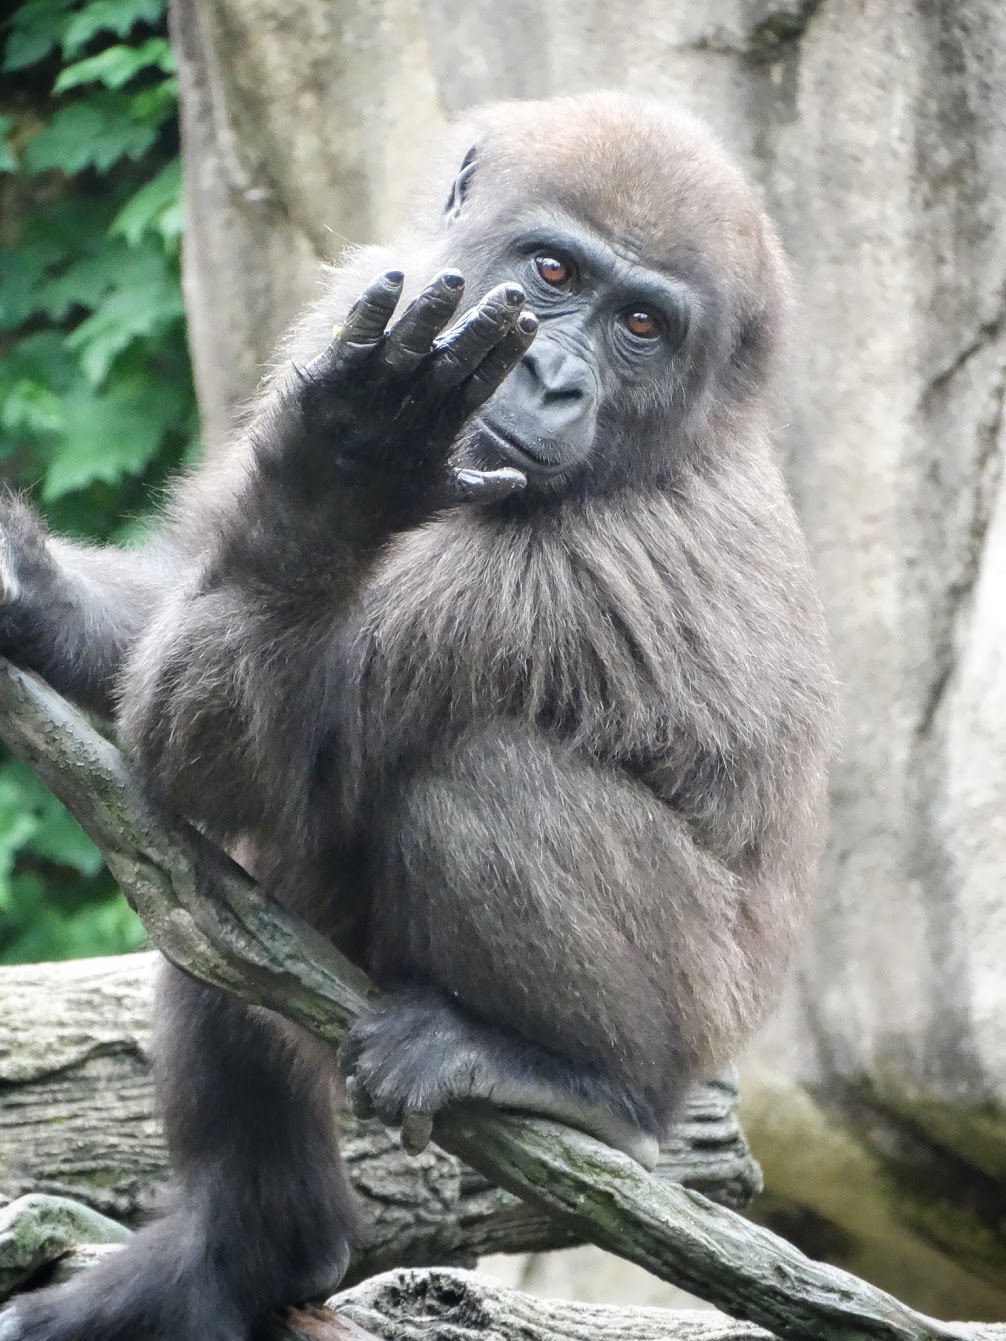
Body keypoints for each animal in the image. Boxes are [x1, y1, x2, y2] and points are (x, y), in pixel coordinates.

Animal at [0, 92, 836, 1341]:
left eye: (642, 327)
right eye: (551, 271)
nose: (555, 379)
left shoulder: (544, 572)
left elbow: (220, 751)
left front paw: (341, 477)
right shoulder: (373, 306)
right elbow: (179, 627)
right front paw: (36, 596)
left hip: (701, 1026)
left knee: (469, 774)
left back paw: (590, 1087)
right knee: (217, 925)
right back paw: (246, 1251)